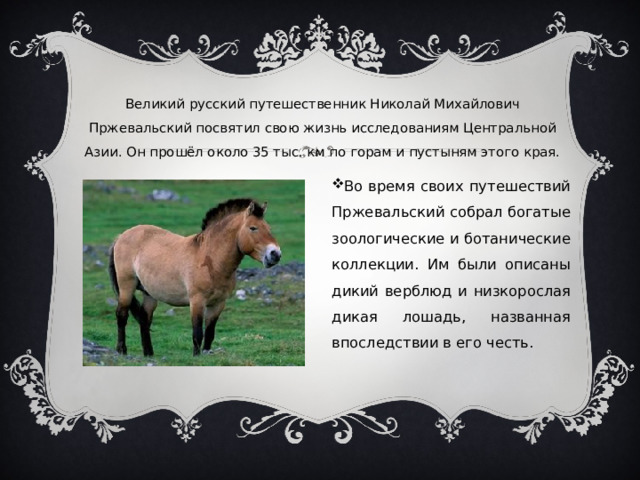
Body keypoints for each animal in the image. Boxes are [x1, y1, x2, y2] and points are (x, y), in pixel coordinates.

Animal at [108, 198, 281, 356]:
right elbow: (197, 334)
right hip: (126, 286)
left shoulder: (218, 304)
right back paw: (122, 350)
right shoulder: (197, 301)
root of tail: (121, 236)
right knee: (122, 316)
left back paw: (149, 354)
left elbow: (209, 334)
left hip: (149, 293)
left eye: (269, 228)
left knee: (144, 319)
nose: (275, 254)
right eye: (253, 228)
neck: (211, 261)